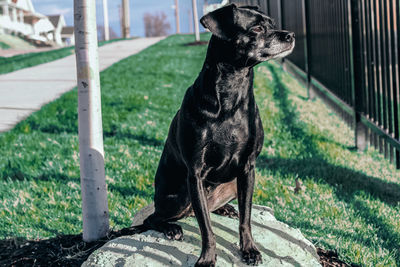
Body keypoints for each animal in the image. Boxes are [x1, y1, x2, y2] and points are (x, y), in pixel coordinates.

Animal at [140, 3, 294, 266]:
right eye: (257, 29)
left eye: (272, 24)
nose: (290, 35)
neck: (232, 93)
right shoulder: (195, 174)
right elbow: (206, 229)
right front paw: (207, 258)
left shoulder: (248, 169)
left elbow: (246, 218)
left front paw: (249, 249)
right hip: (180, 196)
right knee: (153, 218)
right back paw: (171, 228)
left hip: (232, 185)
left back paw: (224, 209)